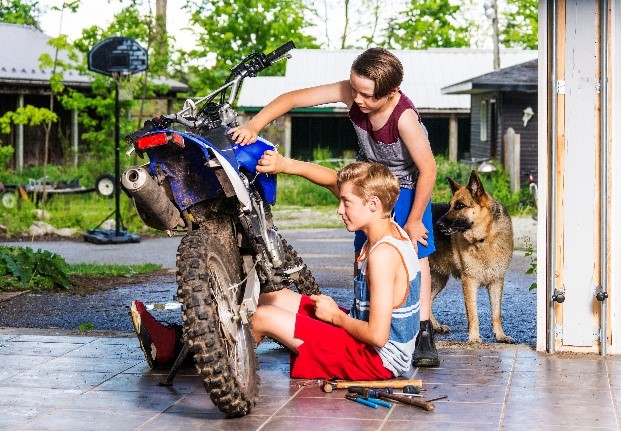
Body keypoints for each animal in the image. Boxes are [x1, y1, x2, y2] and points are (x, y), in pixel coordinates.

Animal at [428, 171, 516, 344]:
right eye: (449, 205)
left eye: (460, 206)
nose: (437, 225)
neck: (485, 238)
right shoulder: (469, 281)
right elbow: (473, 313)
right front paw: (474, 337)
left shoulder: (496, 281)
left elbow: (496, 313)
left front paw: (500, 335)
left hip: (439, 280)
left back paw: (435, 326)